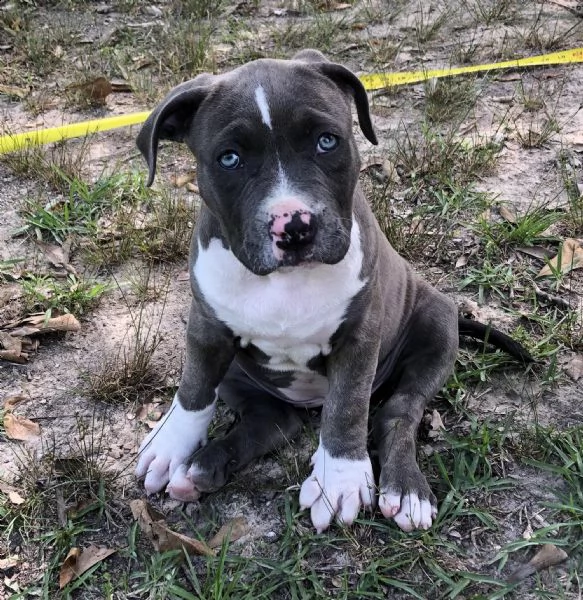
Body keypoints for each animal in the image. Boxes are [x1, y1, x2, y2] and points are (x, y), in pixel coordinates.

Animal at [136, 50, 524, 528]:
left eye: (327, 141)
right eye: (229, 159)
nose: (295, 227)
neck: (284, 283)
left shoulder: (359, 338)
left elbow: (347, 407)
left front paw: (339, 479)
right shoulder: (206, 328)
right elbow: (193, 387)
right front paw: (170, 445)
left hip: (435, 321)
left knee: (398, 412)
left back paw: (406, 490)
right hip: (240, 372)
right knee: (273, 420)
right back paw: (202, 466)